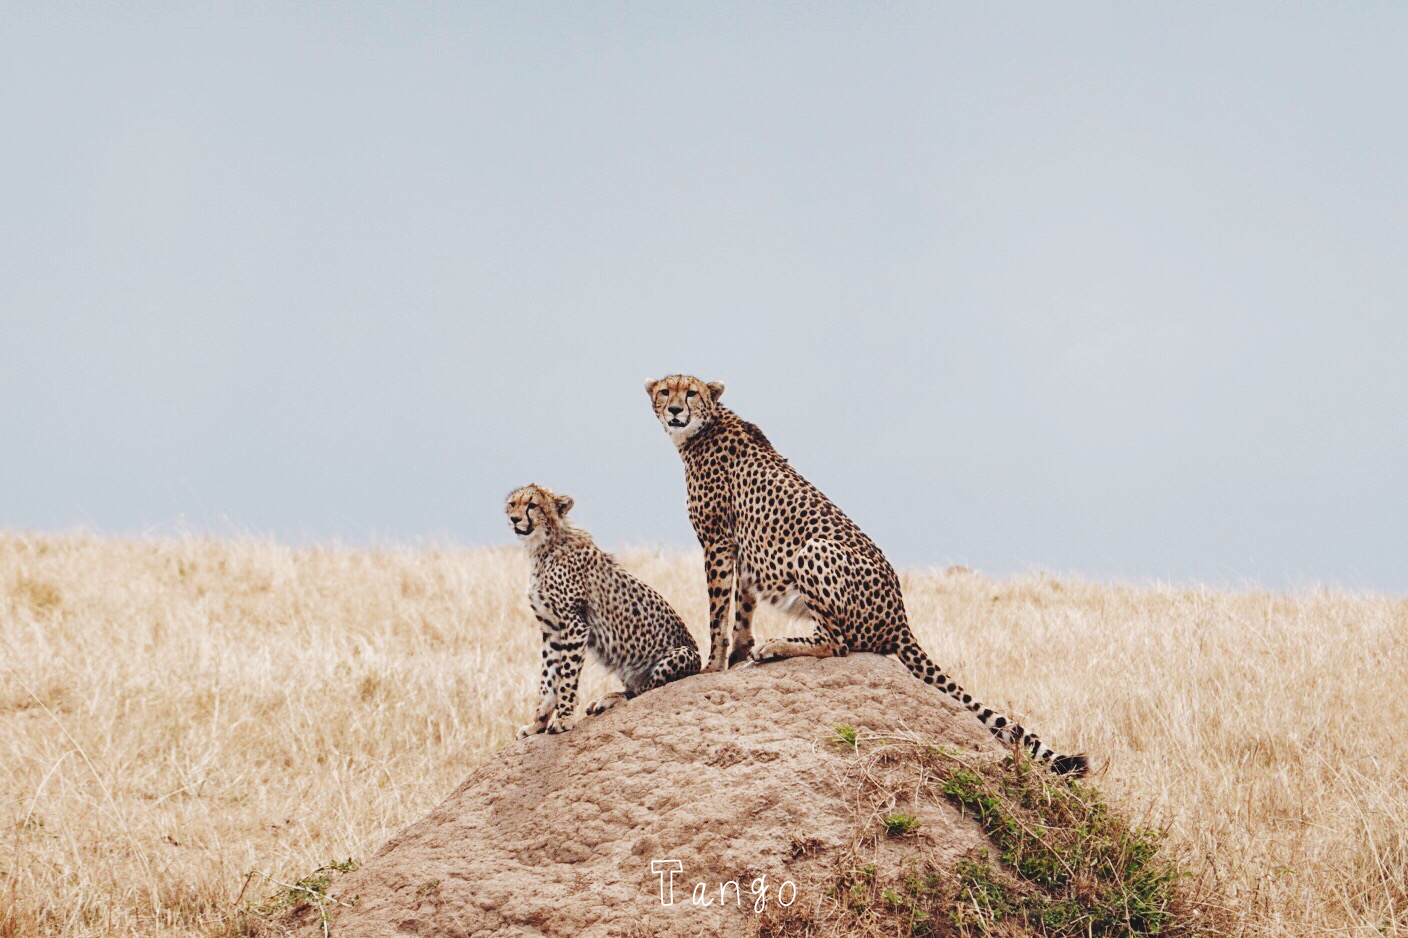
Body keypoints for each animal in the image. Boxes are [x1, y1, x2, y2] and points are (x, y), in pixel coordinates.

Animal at [509, 481, 701, 738]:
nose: (514, 519)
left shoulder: (575, 625)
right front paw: (537, 724)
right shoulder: (552, 629)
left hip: (681, 653)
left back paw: (610, 699)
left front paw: (563, 719)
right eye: (512, 504)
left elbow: (567, 677)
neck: (543, 546)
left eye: (532, 505)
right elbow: (548, 679)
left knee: (643, 691)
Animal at [647, 374, 1086, 771]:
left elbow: (718, 610)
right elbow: (742, 608)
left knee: (838, 643)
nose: (675, 410)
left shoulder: (718, 542)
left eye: (691, 392)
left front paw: (712, 666)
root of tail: (901, 619)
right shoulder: (742, 550)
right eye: (666, 391)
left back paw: (778, 646)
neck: (704, 428)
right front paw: (735, 657)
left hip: (815, 549)